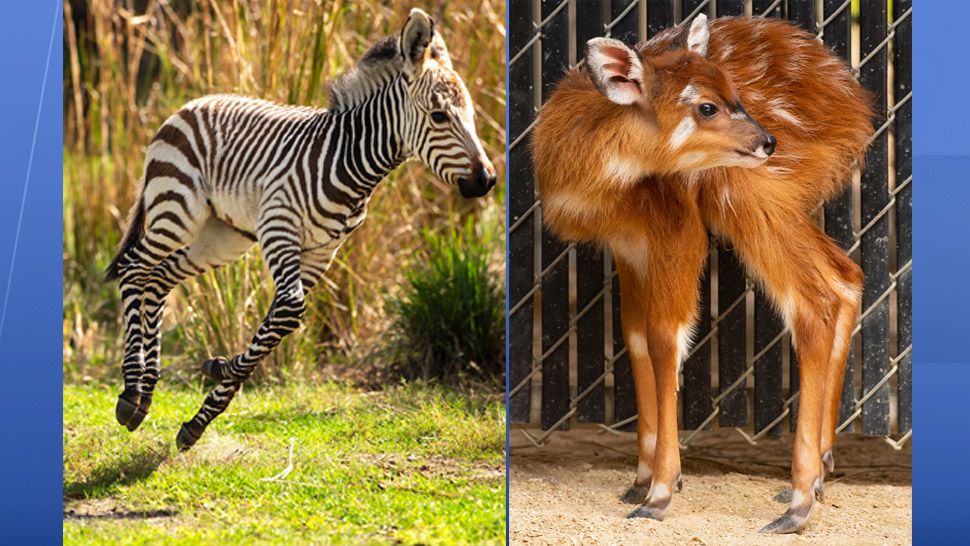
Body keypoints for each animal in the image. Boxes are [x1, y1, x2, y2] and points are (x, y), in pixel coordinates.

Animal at [105, 8, 496, 448]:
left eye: (472, 117)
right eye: (440, 116)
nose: (487, 181)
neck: (351, 163)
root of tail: (189, 105)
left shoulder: (322, 251)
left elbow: (279, 320)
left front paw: (206, 403)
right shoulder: (279, 227)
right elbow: (289, 310)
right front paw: (213, 381)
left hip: (223, 237)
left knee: (159, 278)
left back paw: (146, 392)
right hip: (176, 210)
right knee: (134, 270)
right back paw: (131, 392)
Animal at [528, 13, 868, 532]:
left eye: (734, 95)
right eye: (707, 106)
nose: (767, 140)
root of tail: (858, 111)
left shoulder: (677, 229)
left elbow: (665, 337)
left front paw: (660, 493)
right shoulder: (627, 245)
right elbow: (635, 337)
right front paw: (639, 481)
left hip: (745, 193)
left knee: (814, 302)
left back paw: (796, 504)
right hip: (780, 203)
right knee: (845, 276)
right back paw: (820, 477)